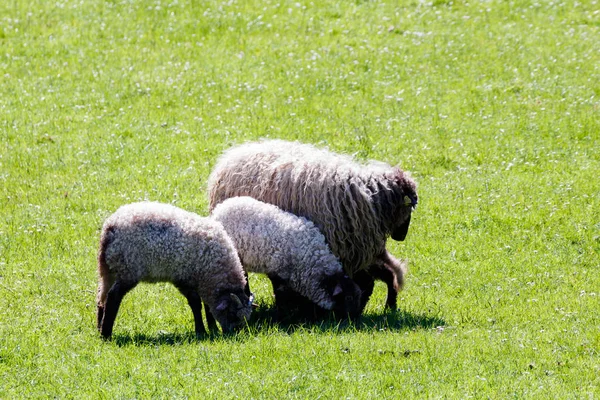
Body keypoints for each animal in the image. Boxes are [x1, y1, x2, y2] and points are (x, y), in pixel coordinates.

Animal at [211, 196, 360, 318]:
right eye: (348, 298)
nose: (355, 318)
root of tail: (221, 207)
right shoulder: (278, 272)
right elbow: (281, 294)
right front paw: (285, 314)